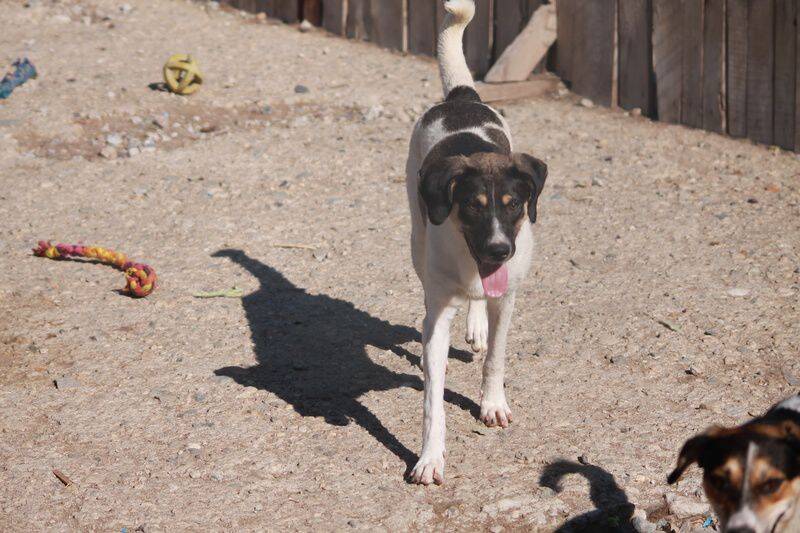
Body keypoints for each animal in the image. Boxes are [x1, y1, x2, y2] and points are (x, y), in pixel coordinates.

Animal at [405, 0, 548, 485]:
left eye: (513, 205)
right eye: (471, 206)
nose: (500, 250)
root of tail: (462, 98)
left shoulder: (508, 297)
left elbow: (496, 358)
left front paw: (492, 403)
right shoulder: (439, 313)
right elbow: (432, 398)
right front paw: (430, 456)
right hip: (416, 236)